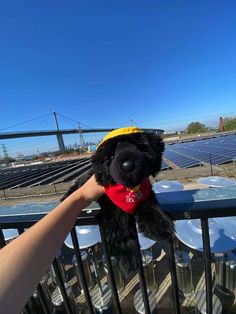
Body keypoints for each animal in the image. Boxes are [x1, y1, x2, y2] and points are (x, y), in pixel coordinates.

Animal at [61, 127, 174, 274]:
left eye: (139, 148)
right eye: (111, 157)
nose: (127, 165)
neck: (130, 190)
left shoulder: (146, 195)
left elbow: (149, 207)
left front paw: (159, 225)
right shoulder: (112, 209)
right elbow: (119, 229)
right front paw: (129, 256)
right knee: (76, 187)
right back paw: (65, 198)